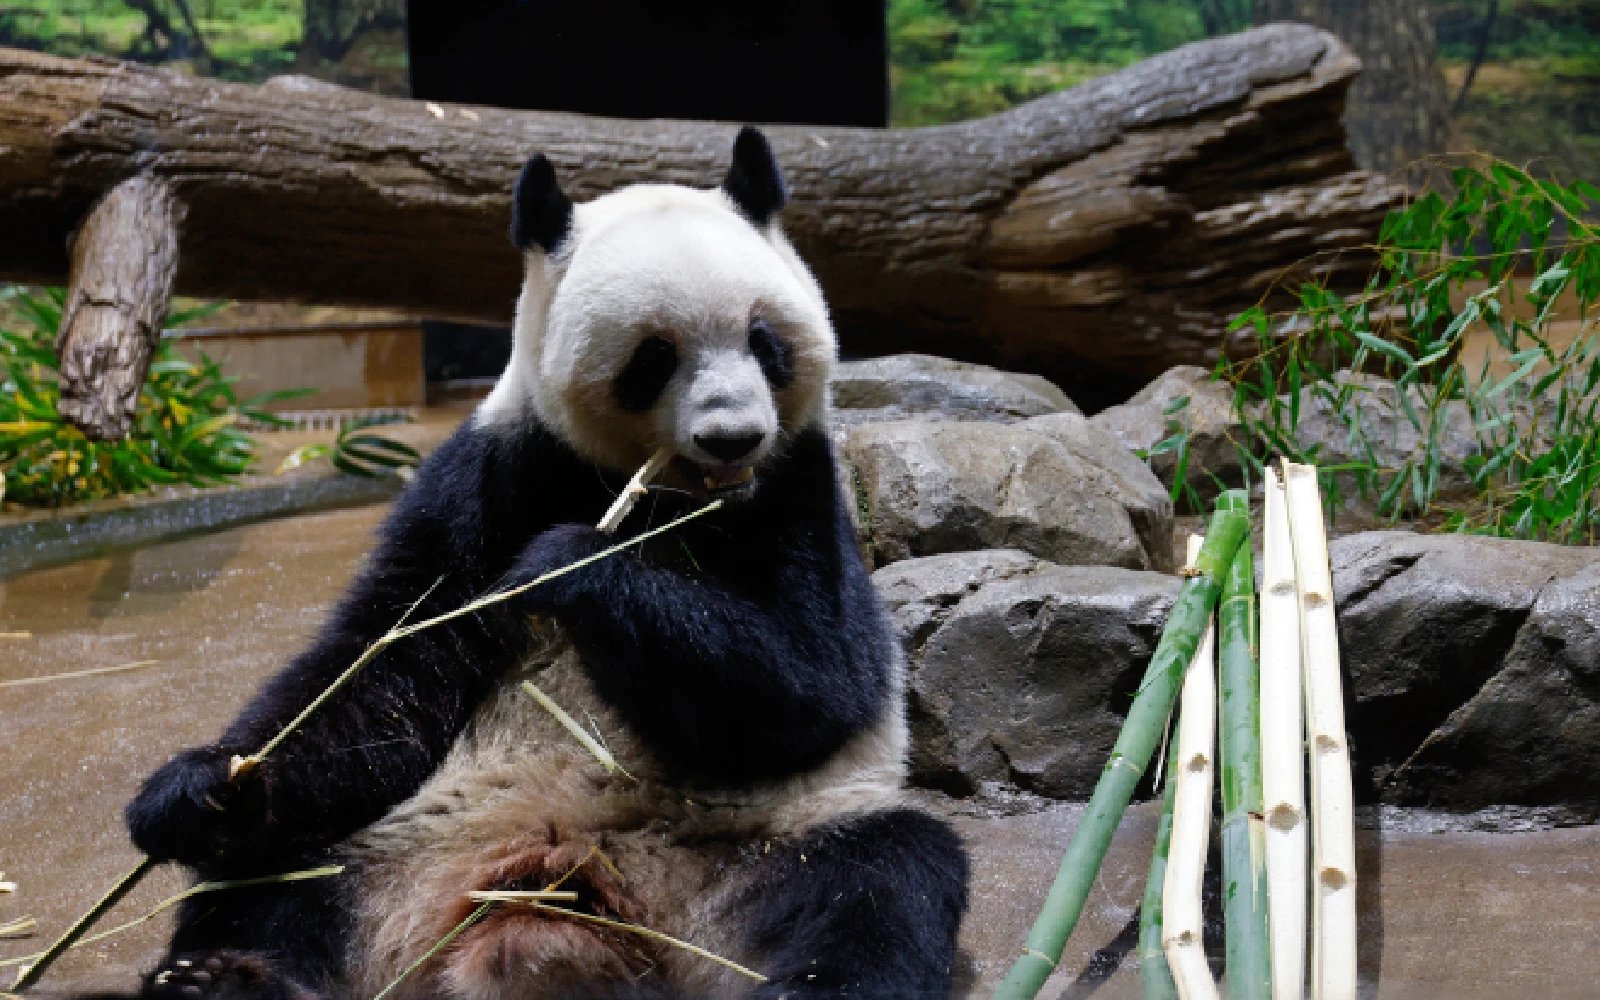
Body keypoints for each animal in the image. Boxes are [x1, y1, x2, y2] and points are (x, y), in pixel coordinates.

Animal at [121, 127, 969, 1000]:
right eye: (655, 357)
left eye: (764, 342)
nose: (731, 438)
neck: (661, 494)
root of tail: (554, 894)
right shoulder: (496, 474)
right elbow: (386, 669)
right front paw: (200, 789)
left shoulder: (795, 487)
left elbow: (815, 683)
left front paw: (567, 564)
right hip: (391, 850)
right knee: (275, 881)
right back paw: (221, 977)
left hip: (753, 854)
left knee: (878, 880)